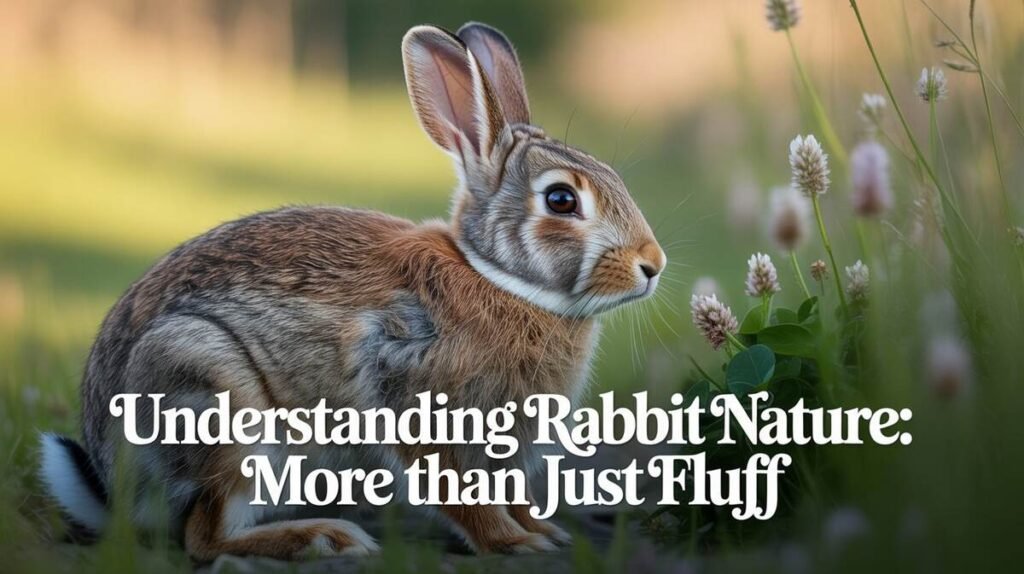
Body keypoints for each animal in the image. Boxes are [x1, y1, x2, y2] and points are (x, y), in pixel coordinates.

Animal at [39, 22, 666, 561]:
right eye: (561, 200)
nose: (652, 265)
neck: (497, 276)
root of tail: (113, 482)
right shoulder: (421, 408)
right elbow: (460, 495)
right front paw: (514, 543)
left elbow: (513, 494)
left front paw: (545, 531)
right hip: (214, 397)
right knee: (205, 535)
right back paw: (324, 538)